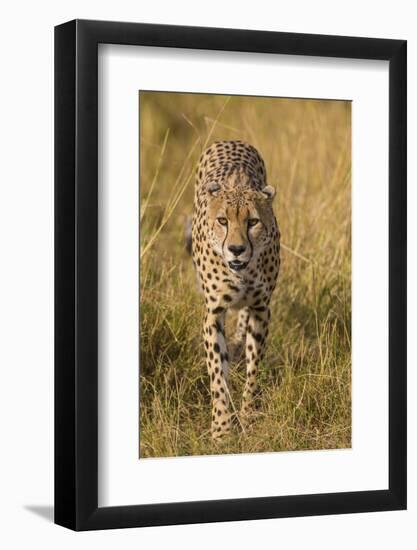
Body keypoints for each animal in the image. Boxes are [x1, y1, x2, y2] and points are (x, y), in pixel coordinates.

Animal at [192, 141, 280, 440]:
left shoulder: (261, 308)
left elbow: (253, 369)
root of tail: (231, 140)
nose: (237, 249)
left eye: (253, 222)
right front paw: (221, 428)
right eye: (222, 221)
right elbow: (218, 374)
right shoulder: (213, 313)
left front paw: (248, 416)